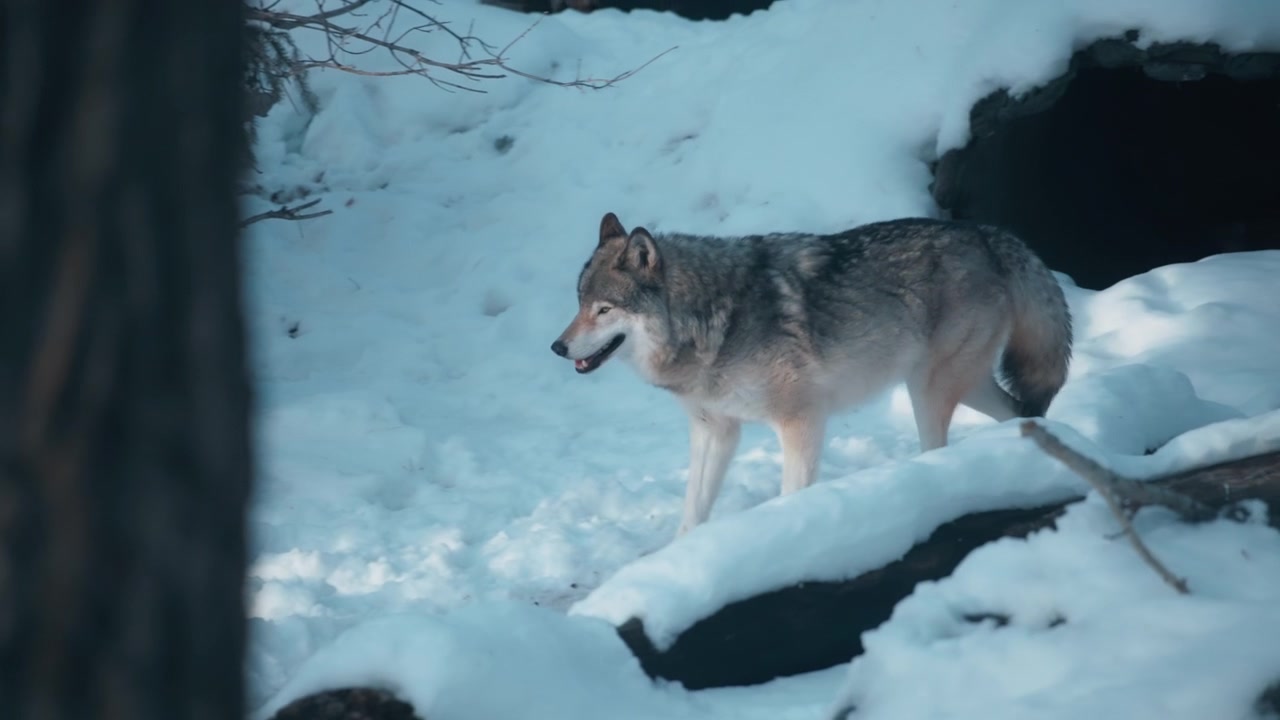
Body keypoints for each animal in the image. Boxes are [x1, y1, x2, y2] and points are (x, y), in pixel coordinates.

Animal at [551, 212, 1072, 536]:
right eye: (578, 304)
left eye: (604, 309)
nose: (558, 347)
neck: (715, 321)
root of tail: (987, 231)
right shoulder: (715, 430)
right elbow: (691, 513)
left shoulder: (800, 420)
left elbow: (790, 494)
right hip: (957, 386)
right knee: (1022, 413)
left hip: (928, 389)